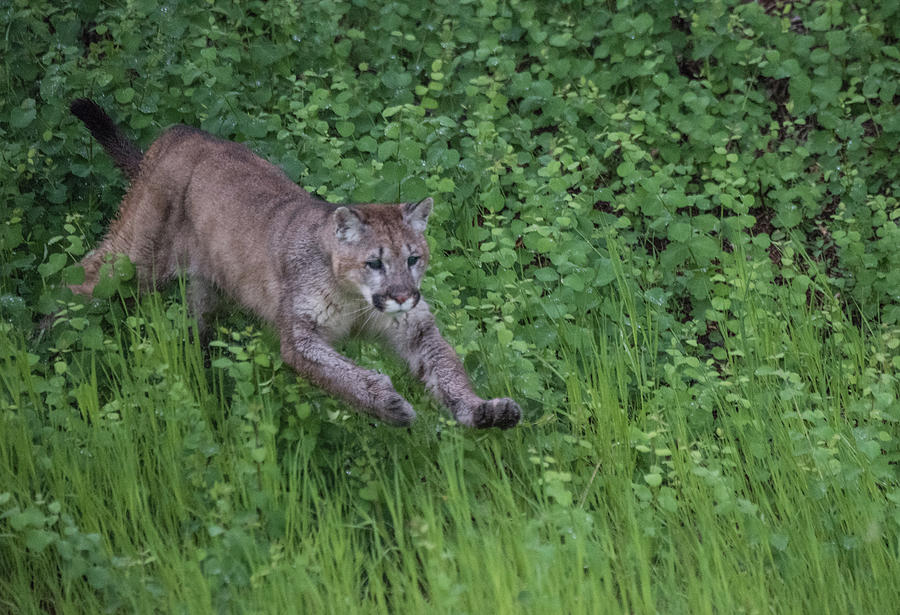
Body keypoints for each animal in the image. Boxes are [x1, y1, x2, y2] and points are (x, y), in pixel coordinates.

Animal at [68, 100, 520, 428]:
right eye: (374, 263)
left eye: (413, 259)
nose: (403, 295)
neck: (355, 298)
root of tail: (177, 133)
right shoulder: (302, 335)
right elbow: (345, 373)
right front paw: (391, 405)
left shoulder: (413, 326)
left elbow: (446, 369)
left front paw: (483, 410)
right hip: (135, 257)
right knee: (82, 275)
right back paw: (56, 334)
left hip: (205, 287)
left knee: (196, 328)